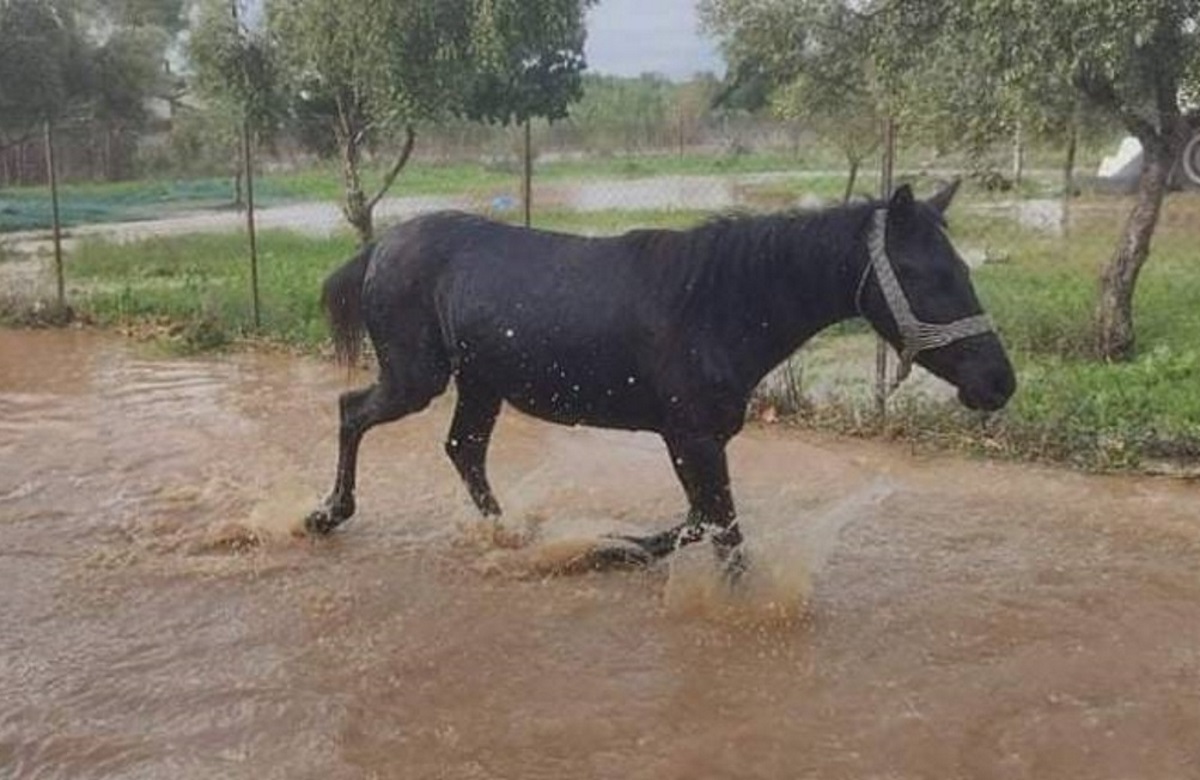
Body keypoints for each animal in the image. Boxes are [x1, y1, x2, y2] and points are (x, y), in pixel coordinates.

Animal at [302, 180, 1012, 561]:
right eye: (926, 275)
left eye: (965, 269)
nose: (1000, 382)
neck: (719, 304)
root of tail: (379, 248)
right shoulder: (692, 438)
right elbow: (724, 535)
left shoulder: (698, 442)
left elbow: (694, 523)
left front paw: (611, 548)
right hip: (415, 379)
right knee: (351, 413)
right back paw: (327, 514)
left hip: (480, 385)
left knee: (464, 451)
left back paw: (507, 535)